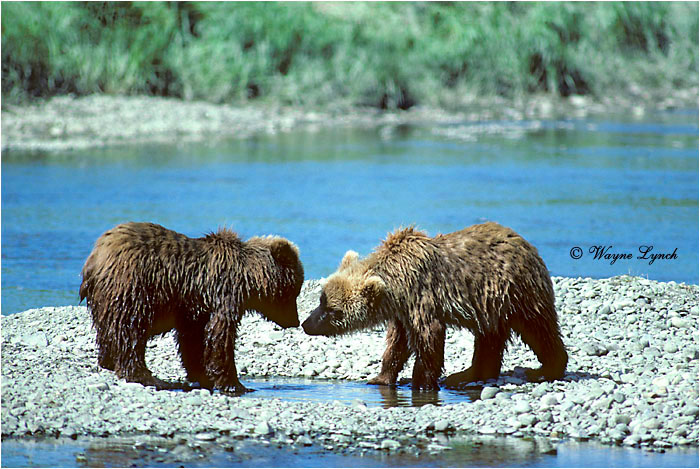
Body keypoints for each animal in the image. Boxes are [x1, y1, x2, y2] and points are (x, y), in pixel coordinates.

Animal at [79, 222, 304, 393]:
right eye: (293, 291)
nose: (295, 321)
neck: (248, 277)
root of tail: (95, 257)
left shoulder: (195, 307)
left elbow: (193, 339)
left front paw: (202, 374)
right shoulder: (224, 295)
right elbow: (220, 337)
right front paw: (234, 384)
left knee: (108, 330)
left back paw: (108, 361)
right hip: (133, 285)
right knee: (130, 330)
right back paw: (146, 376)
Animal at [302, 222, 567, 390]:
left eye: (332, 310)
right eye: (321, 300)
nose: (306, 324)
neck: (397, 283)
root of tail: (526, 244)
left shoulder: (422, 297)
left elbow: (429, 338)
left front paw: (420, 383)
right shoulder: (402, 310)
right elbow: (397, 343)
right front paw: (380, 377)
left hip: (514, 290)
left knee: (538, 327)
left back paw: (547, 369)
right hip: (491, 304)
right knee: (489, 337)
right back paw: (468, 374)